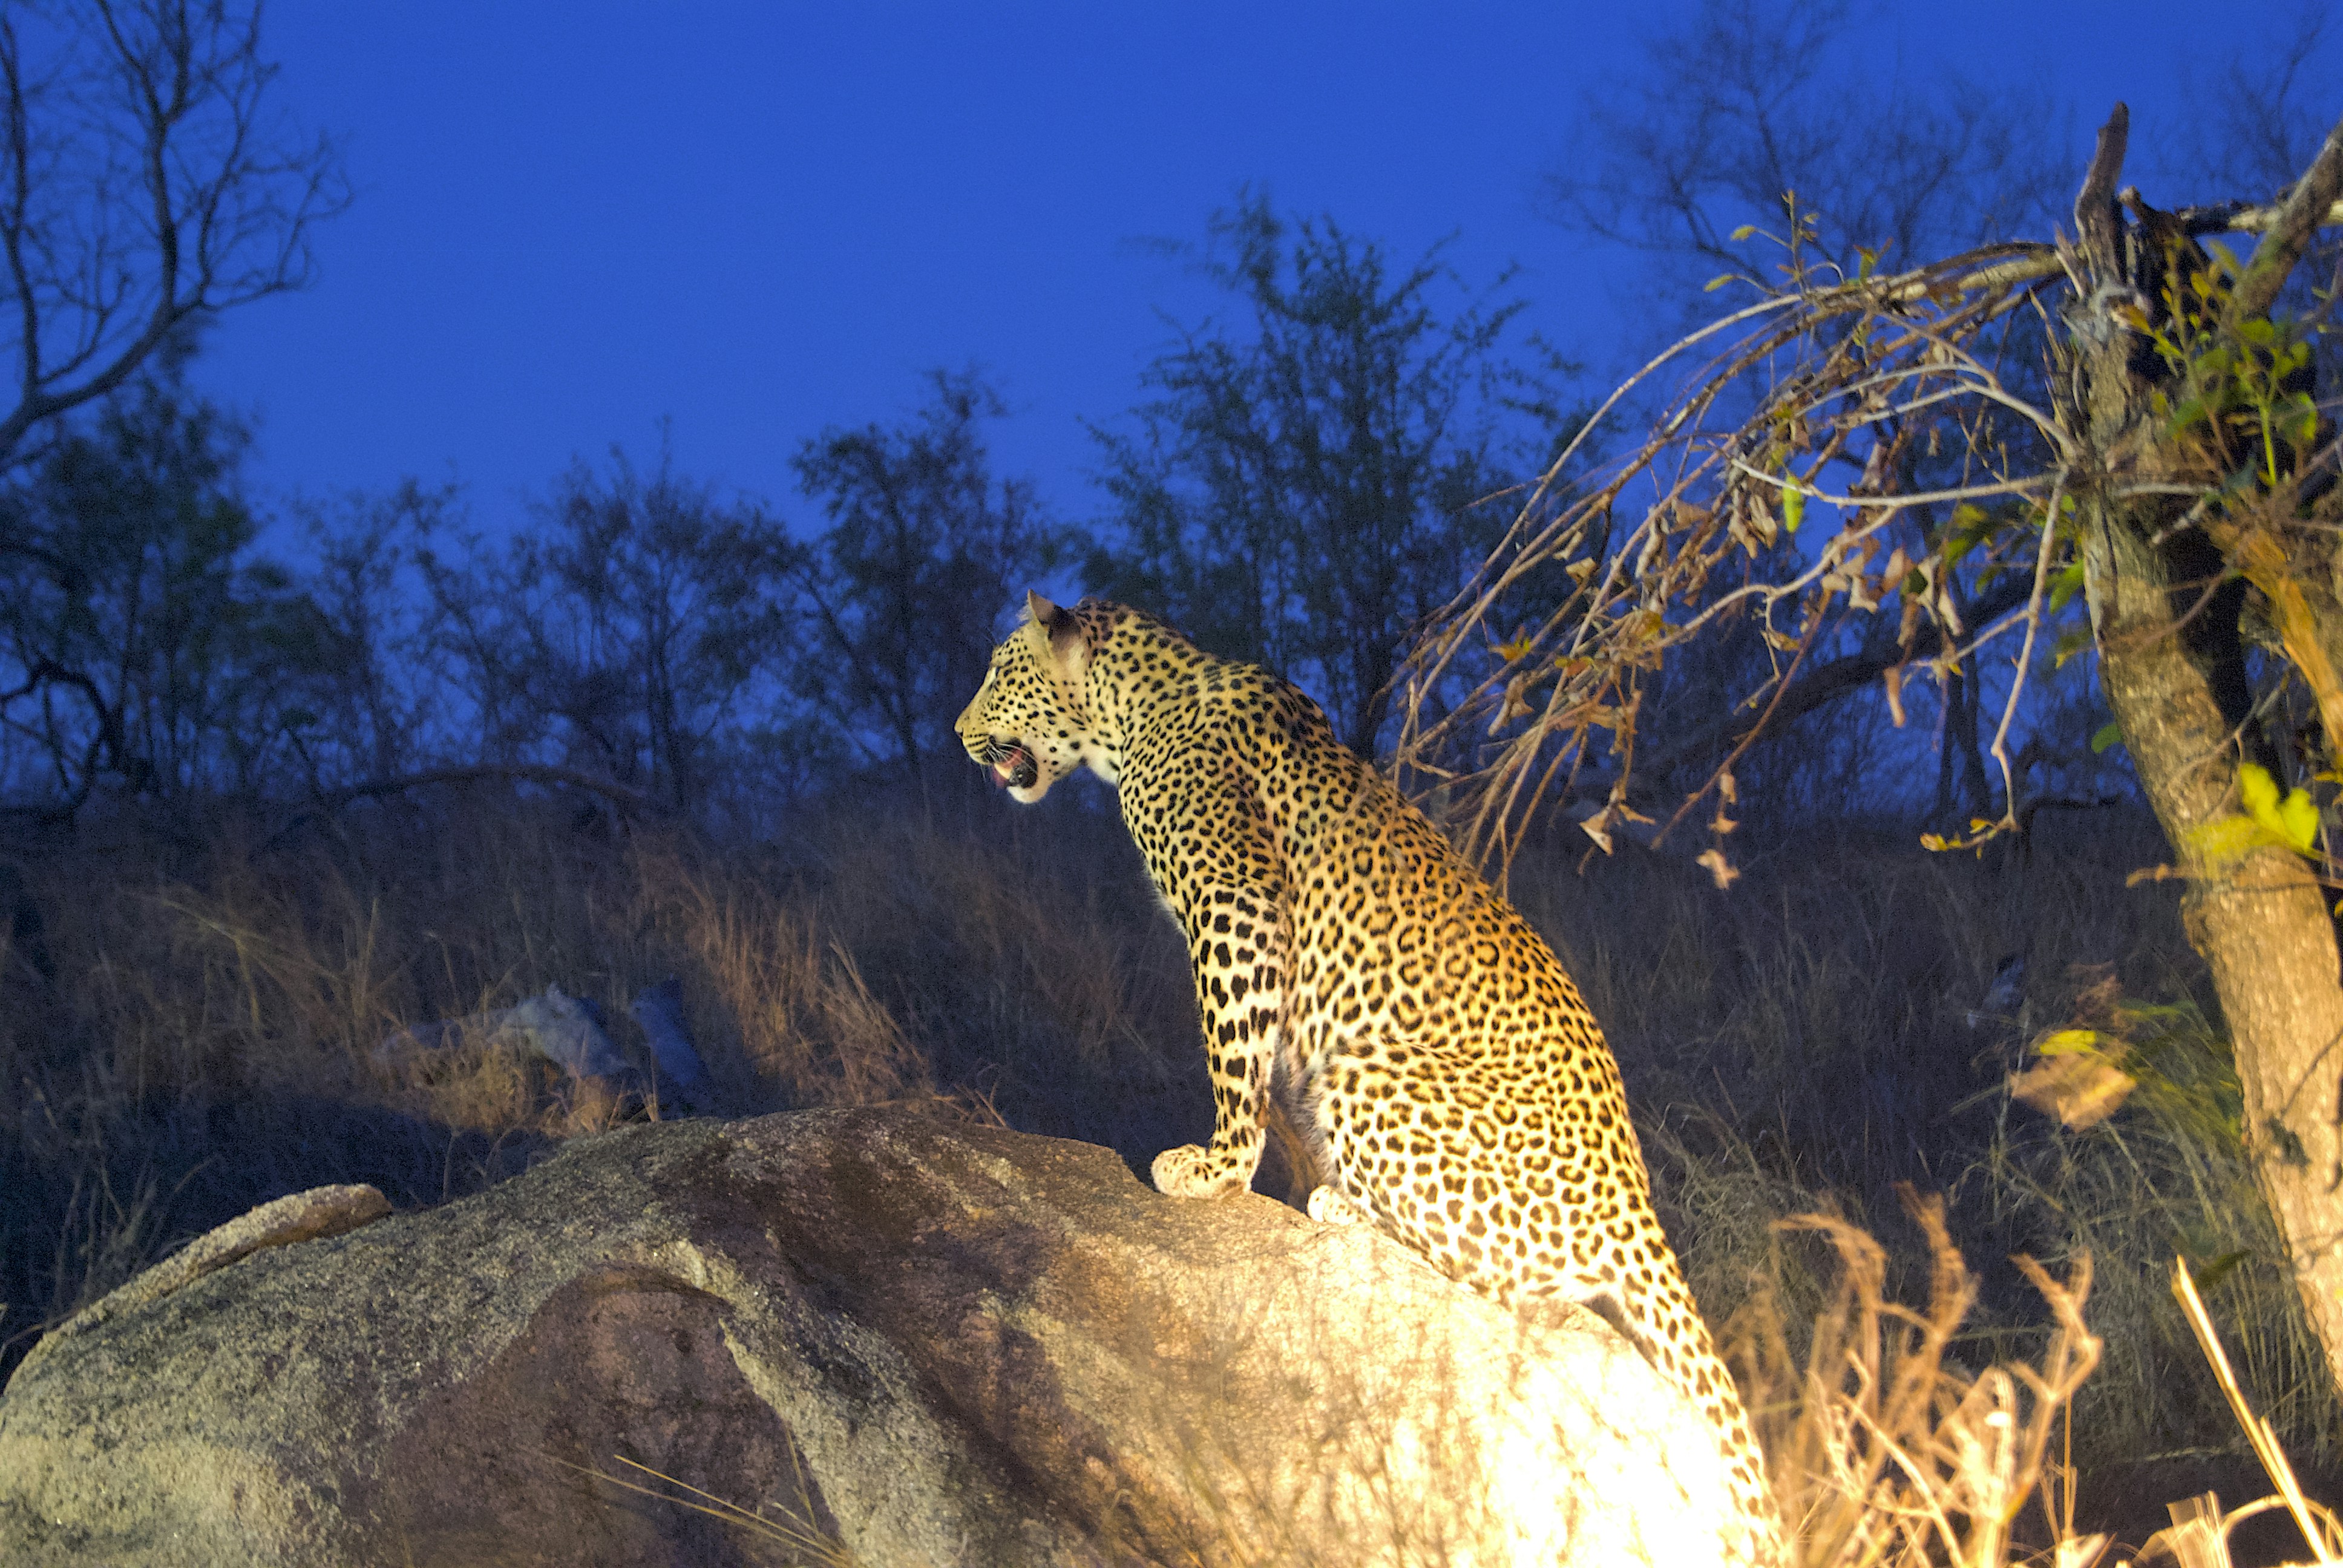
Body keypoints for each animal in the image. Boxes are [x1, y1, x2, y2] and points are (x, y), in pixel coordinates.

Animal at [956, 592, 1782, 1563]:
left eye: (1000, 674)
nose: (959, 733)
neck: (1136, 709)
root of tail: (1637, 1205)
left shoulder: (1236, 908)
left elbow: (1232, 1052)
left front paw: (1214, 1170)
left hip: (1365, 1075)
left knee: (1504, 1285)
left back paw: (1342, 1205)